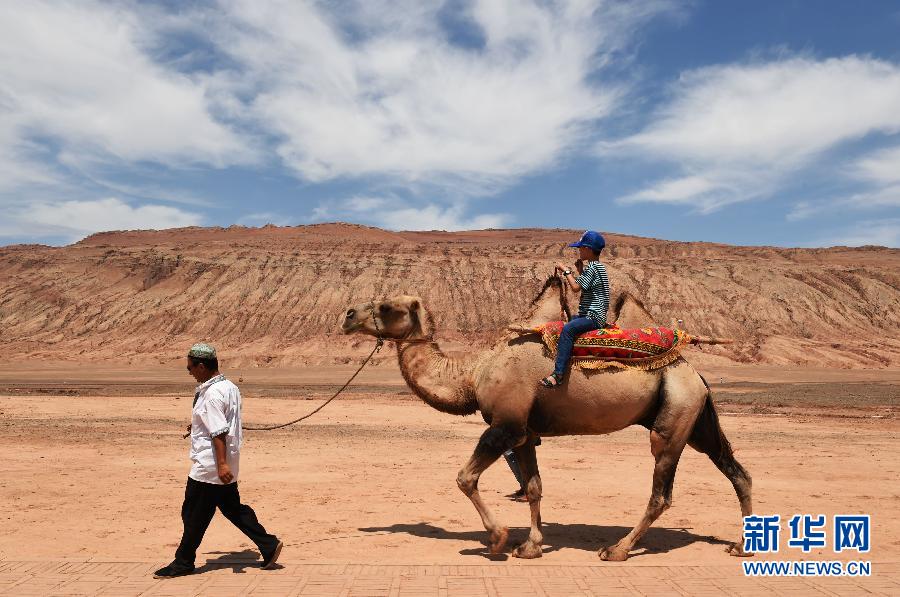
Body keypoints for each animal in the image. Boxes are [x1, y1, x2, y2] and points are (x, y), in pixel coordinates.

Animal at [342, 274, 748, 560]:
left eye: (387, 306)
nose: (347, 314)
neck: (473, 373)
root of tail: (694, 373)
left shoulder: (504, 426)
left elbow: (465, 478)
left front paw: (498, 540)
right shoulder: (524, 432)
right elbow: (534, 487)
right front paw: (531, 546)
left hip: (671, 420)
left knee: (660, 494)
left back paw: (616, 549)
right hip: (695, 416)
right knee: (735, 471)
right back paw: (740, 546)